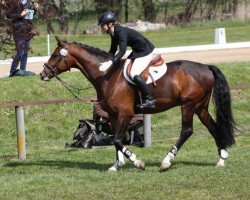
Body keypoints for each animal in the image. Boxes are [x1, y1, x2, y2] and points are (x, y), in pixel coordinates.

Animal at [40, 38, 235, 172]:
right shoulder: (113, 115)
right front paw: (116, 165)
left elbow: (118, 140)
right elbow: (116, 141)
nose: (43, 74)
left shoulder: (125, 114)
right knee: (213, 126)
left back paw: (166, 161)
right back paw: (221, 159)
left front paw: (137, 161)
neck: (107, 76)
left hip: (188, 105)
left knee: (187, 130)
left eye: (55, 55)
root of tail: (206, 67)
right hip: (200, 106)